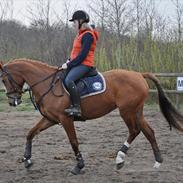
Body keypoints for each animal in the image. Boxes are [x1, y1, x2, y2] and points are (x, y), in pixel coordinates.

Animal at [0, 58, 183, 174]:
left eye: (4, 79)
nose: (12, 101)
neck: (47, 84)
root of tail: (139, 75)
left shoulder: (65, 119)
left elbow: (73, 141)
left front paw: (79, 166)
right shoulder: (50, 119)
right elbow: (30, 133)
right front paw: (27, 159)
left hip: (127, 111)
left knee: (134, 131)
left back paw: (120, 158)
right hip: (136, 111)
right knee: (149, 132)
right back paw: (157, 162)